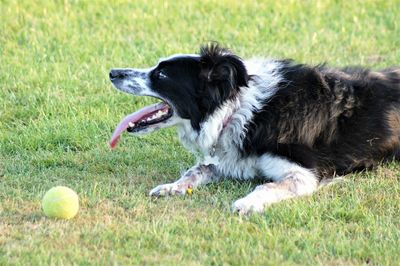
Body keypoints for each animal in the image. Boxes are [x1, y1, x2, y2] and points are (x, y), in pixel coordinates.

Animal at [109, 43, 400, 214]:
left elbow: (267, 186)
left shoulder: (304, 173)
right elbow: (199, 168)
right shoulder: (235, 157)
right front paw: (173, 186)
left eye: (161, 75)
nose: (112, 72)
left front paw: (247, 202)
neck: (239, 110)